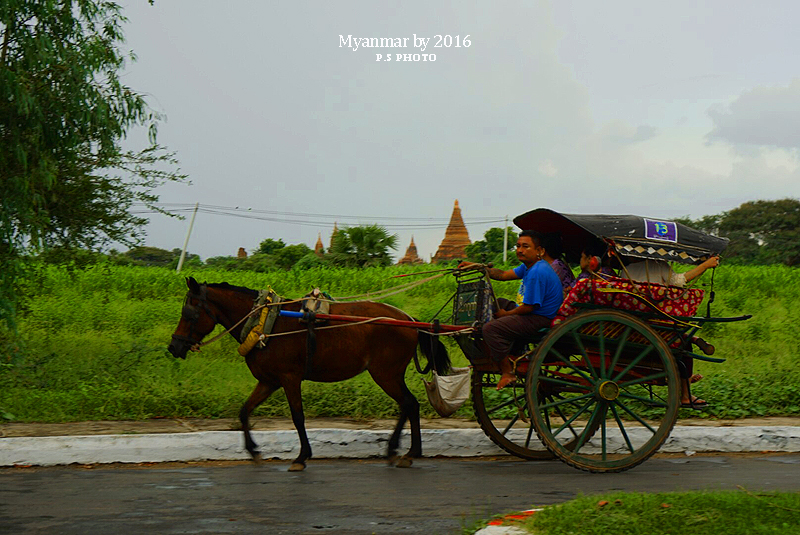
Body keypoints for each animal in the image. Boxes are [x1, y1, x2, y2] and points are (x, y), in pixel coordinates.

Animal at [167, 278, 450, 472]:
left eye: (188, 313)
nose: (173, 347)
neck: (266, 321)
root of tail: (409, 319)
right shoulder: (269, 381)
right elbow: (244, 411)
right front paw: (253, 450)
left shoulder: (289, 378)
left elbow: (298, 417)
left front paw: (301, 457)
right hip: (389, 375)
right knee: (407, 405)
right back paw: (395, 449)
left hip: (385, 374)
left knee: (410, 404)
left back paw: (409, 453)